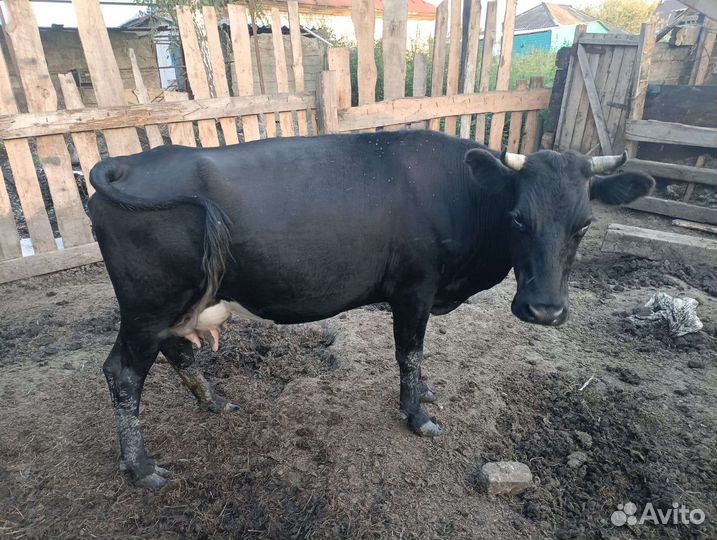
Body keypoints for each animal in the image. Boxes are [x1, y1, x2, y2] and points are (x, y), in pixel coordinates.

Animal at [88, 130, 654, 488]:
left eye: (584, 223)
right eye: (517, 218)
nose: (544, 311)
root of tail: (126, 163)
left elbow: (419, 357)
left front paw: (425, 392)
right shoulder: (414, 289)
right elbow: (410, 352)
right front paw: (417, 414)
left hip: (172, 305)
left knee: (175, 353)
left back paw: (215, 402)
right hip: (146, 304)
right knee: (122, 373)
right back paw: (142, 468)